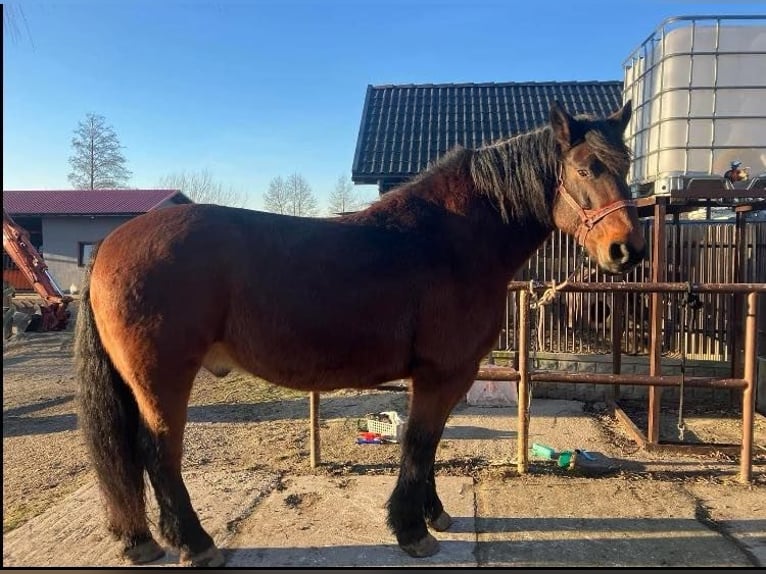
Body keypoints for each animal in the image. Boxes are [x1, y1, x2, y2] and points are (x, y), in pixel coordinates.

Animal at [73, 100, 648, 568]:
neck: (454, 238)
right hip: (163, 379)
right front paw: (412, 530)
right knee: (158, 453)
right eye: (585, 168)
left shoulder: (443, 378)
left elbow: (429, 444)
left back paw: (142, 540)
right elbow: (418, 443)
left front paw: (433, 514)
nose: (627, 251)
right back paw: (195, 543)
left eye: (626, 166)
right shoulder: (441, 374)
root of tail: (112, 242)